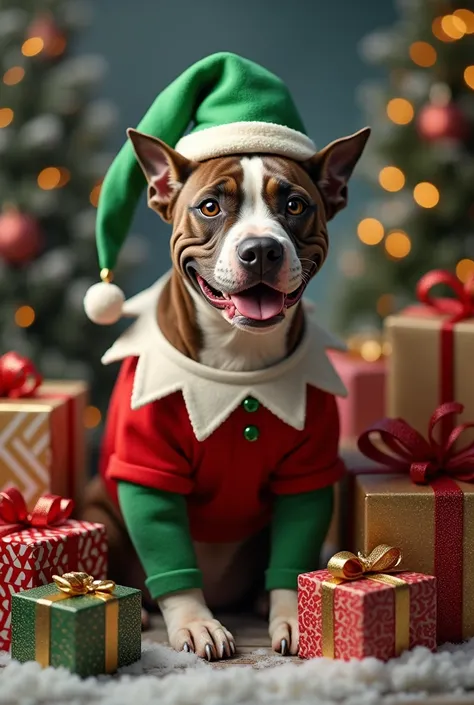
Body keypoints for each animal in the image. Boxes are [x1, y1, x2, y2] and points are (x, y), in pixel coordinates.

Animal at [82, 125, 370, 660]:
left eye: (295, 205)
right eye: (211, 207)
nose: (261, 250)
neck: (239, 360)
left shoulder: (307, 473)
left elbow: (295, 549)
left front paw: (291, 614)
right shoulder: (149, 469)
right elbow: (170, 554)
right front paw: (196, 623)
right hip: (100, 513)